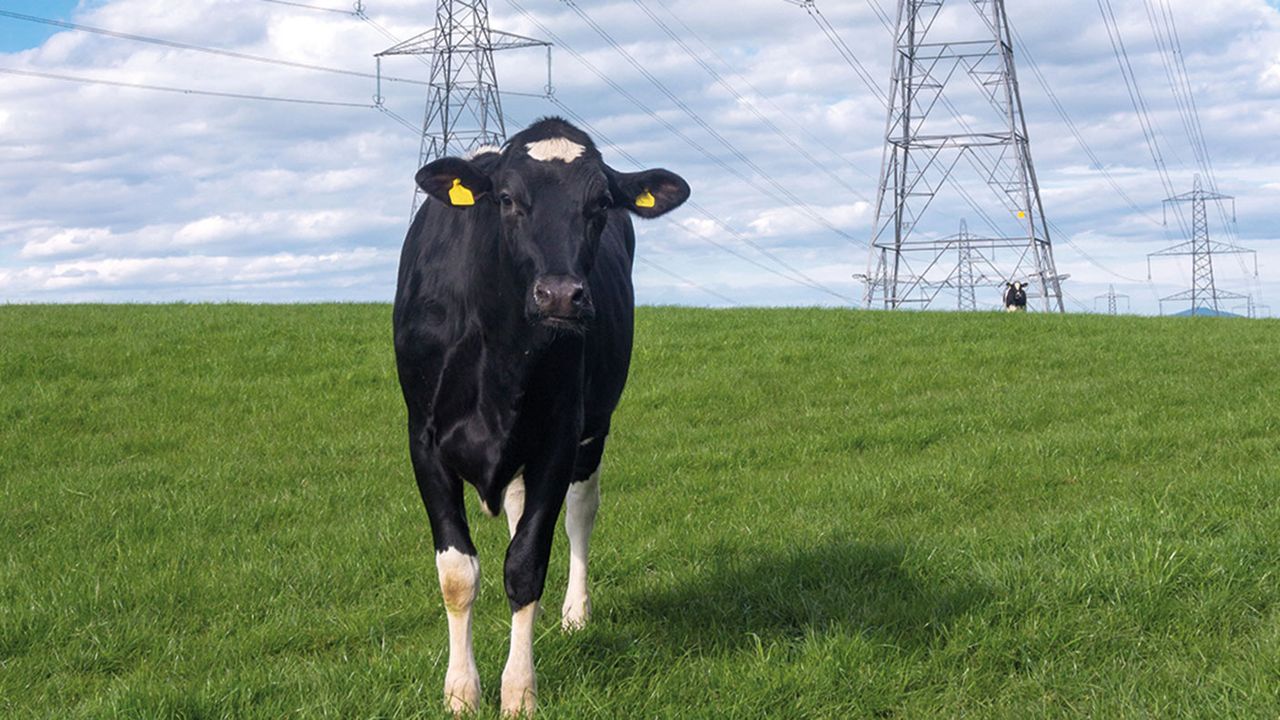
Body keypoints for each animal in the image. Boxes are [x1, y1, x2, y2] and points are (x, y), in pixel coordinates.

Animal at [389, 117, 691, 712]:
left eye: (601, 203)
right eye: (506, 198)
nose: (559, 295)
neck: (501, 350)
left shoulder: (558, 437)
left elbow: (526, 564)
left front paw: (518, 693)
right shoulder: (424, 441)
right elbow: (457, 572)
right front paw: (461, 692)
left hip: (593, 429)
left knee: (579, 511)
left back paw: (574, 613)